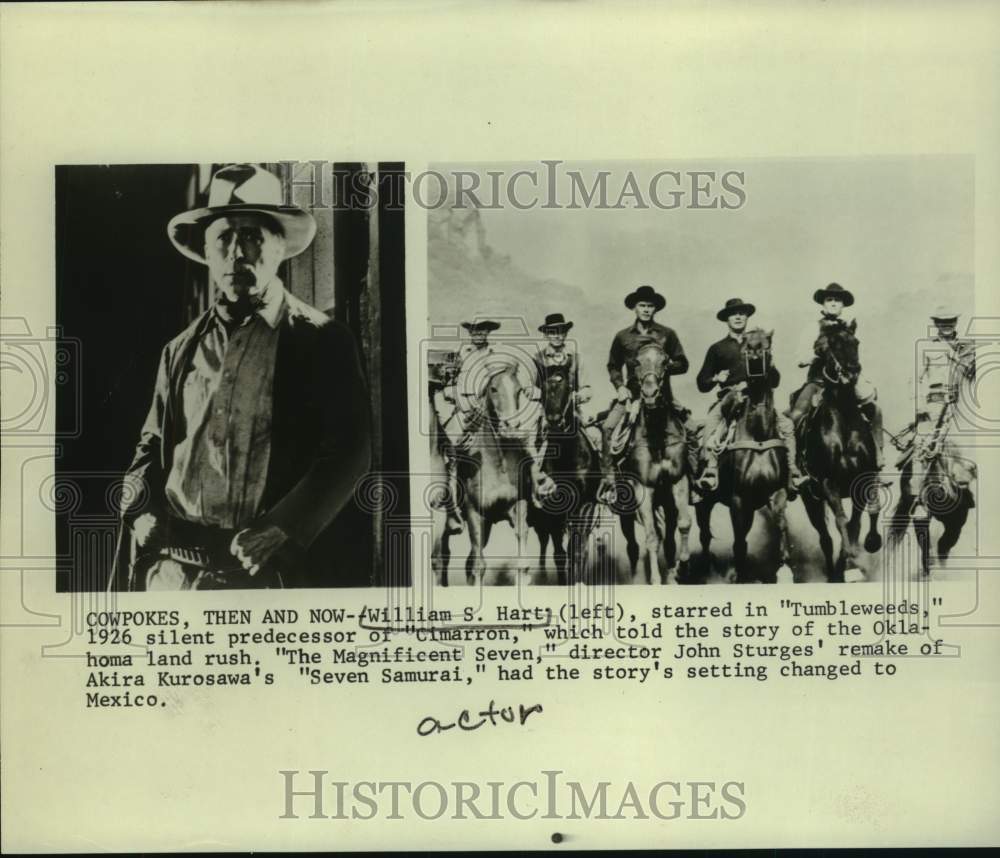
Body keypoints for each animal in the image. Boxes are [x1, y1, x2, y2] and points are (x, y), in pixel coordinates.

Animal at [434, 358, 552, 584]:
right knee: (445, 557)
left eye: (519, 390)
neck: (498, 464)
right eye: (493, 389)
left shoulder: (517, 507)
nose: (511, 425)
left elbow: (522, 564)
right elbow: (478, 566)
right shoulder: (474, 513)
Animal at [528, 358, 604, 584]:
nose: (554, 420)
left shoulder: (585, 506)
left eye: (568, 387)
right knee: (544, 542)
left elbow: (577, 551)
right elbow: (559, 554)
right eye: (544, 389)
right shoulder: (553, 510)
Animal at [612, 342, 692, 580]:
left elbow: (684, 524)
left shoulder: (678, 480)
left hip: (666, 503)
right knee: (633, 543)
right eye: (637, 362)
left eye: (665, 361)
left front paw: (682, 566)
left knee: (670, 534)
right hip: (627, 510)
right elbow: (651, 537)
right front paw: (656, 579)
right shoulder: (644, 489)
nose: (650, 394)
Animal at [696, 326, 788, 580]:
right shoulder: (739, 500)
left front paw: (785, 567)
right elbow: (738, 543)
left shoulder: (776, 492)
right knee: (704, 534)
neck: (757, 435)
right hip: (702, 501)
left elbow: (781, 524)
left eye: (768, 344)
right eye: (747, 345)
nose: (755, 351)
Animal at [792, 320, 880, 580]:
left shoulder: (863, 480)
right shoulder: (828, 483)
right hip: (810, 501)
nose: (852, 371)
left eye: (855, 342)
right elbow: (842, 521)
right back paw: (834, 573)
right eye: (831, 344)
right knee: (825, 538)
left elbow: (856, 523)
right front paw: (852, 559)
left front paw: (866, 546)